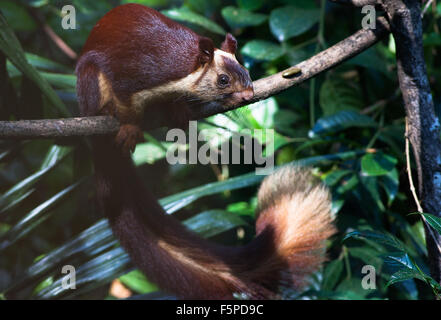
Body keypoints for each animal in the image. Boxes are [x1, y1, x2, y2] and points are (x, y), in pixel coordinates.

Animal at [75, 3, 334, 300]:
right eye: (222, 80)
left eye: (247, 72)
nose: (248, 95)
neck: (181, 71)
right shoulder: (132, 75)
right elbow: (126, 104)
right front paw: (129, 126)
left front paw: (179, 112)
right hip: (88, 81)